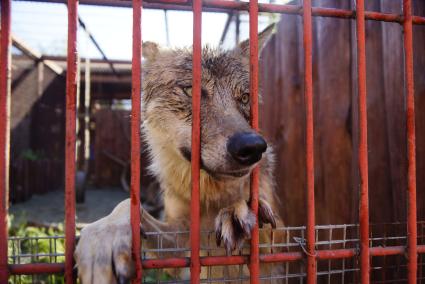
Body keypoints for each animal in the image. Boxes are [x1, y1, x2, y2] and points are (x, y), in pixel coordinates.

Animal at [74, 25, 284, 284]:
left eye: (244, 97)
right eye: (190, 90)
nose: (252, 147)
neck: (209, 197)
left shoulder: (279, 247)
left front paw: (238, 210)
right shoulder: (179, 246)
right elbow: (129, 205)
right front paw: (101, 238)